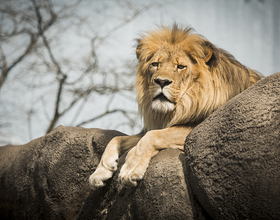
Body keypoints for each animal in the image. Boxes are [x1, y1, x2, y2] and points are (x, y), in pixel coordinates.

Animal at [88, 23, 262, 189]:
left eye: (180, 66)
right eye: (155, 64)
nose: (161, 81)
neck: (182, 106)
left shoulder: (197, 129)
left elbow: (151, 137)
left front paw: (131, 166)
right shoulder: (157, 126)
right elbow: (117, 138)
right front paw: (101, 171)